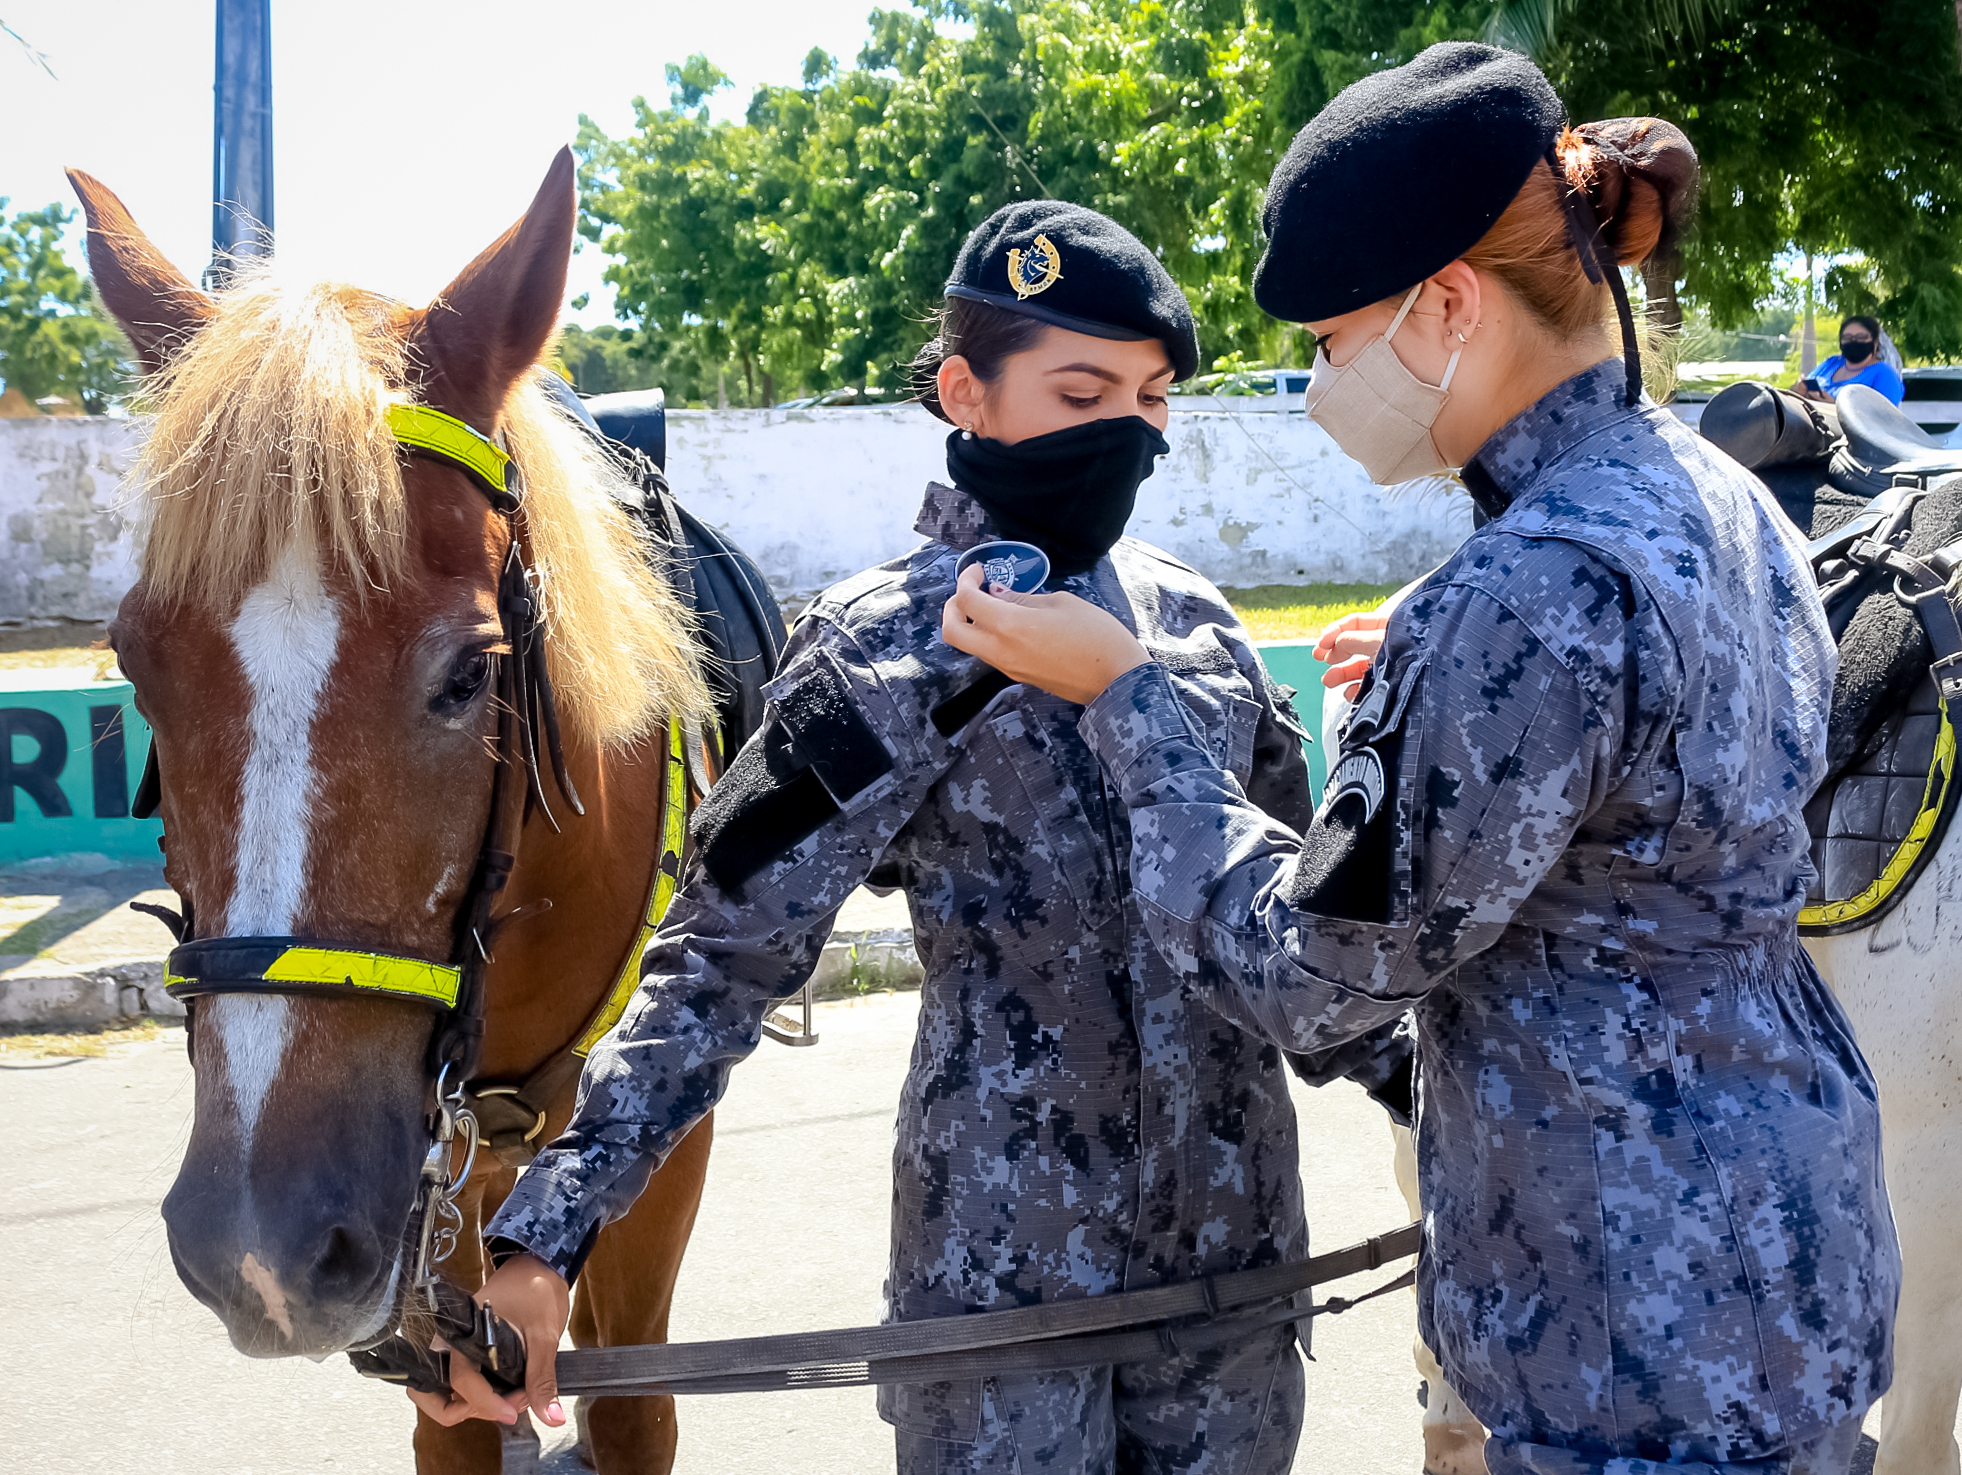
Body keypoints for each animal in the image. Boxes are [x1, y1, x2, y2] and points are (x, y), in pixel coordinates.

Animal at [72, 152, 729, 1475]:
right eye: (136, 665)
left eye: (471, 673)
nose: (257, 1247)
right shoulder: (429, 1223)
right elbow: (457, 1412)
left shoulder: (661, 1142)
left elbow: (634, 1402)